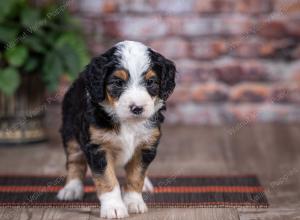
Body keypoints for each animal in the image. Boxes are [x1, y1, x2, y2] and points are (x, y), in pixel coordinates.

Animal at [56, 40, 176, 218]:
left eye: (150, 82)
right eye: (118, 83)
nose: (137, 108)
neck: (128, 122)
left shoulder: (146, 145)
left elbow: (136, 175)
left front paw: (134, 202)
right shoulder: (98, 147)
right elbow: (107, 179)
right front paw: (114, 208)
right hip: (70, 130)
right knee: (75, 161)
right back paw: (71, 189)